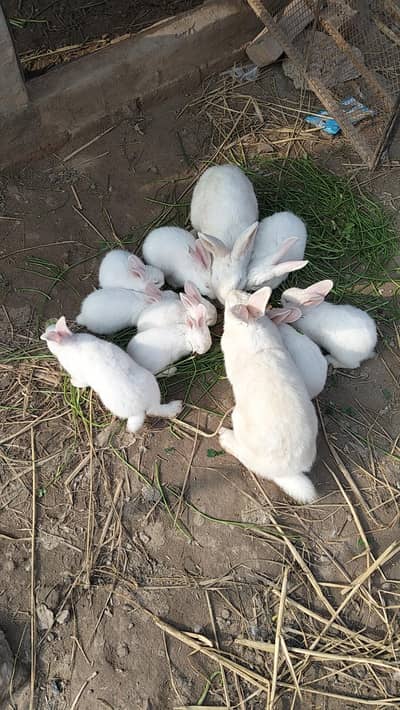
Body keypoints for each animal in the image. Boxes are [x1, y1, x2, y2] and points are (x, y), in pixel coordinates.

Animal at [41, 317, 182, 433]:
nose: (46, 328)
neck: (68, 342)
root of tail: (141, 407)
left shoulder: (79, 376)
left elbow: (81, 382)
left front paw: (72, 382)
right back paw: (176, 406)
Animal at [219, 287, 318, 504]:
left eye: (232, 303)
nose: (231, 290)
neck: (250, 325)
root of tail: (287, 471)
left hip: (238, 419)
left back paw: (224, 436)